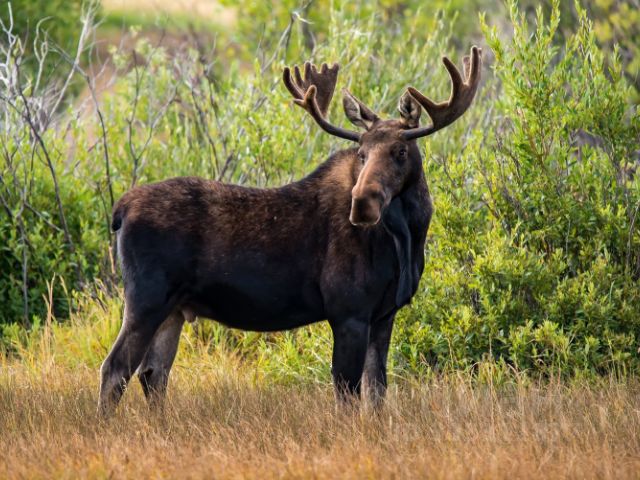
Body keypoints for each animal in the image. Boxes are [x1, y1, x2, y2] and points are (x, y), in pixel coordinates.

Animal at [99, 47, 480, 416]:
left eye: (400, 150)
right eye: (361, 152)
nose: (362, 204)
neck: (407, 238)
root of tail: (120, 211)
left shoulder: (384, 315)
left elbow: (376, 392)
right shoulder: (348, 312)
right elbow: (347, 393)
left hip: (174, 309)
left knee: (153, 373)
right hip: (147, 298)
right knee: (116, 368)